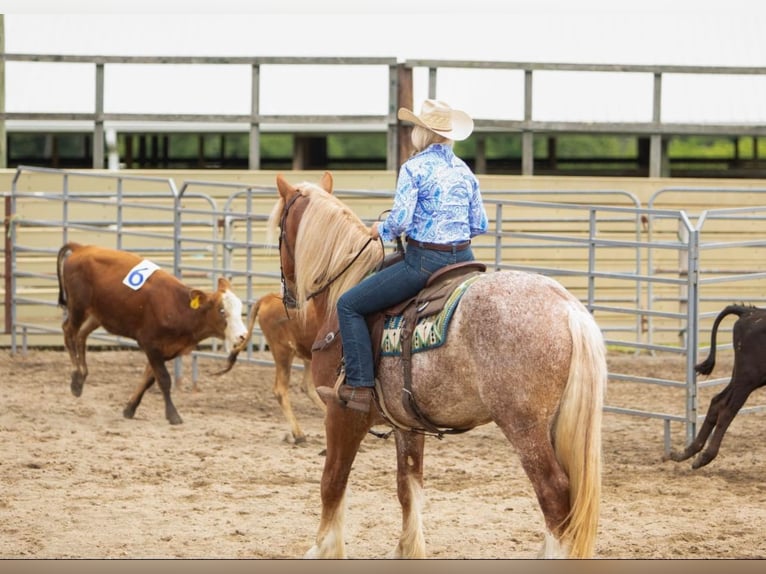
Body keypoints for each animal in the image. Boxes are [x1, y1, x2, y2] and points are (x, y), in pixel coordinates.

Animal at [57, 241, 249, 426]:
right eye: (222, 310)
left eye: (240, 309)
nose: (243, 336)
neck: (179, 307)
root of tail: (81, 248)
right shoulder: (150, 344)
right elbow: (163, 379)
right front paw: (173, 415)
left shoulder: (169, 349)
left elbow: (149, 378)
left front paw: (130, 408)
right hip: (78, 306)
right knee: (69, 331)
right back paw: (76, 378)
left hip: (97, 314)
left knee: (81, 335)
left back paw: (82, 378)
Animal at [270, 173, 608, 560]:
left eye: (280, 229)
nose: (288, 295)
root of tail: (566, 308)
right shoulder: (406, 425)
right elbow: (408, 487)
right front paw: (406, 550)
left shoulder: (342, 413)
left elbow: (332, 481)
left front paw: (323, 548)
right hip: (556, 423)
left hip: (524, 426)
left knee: (554, 493)